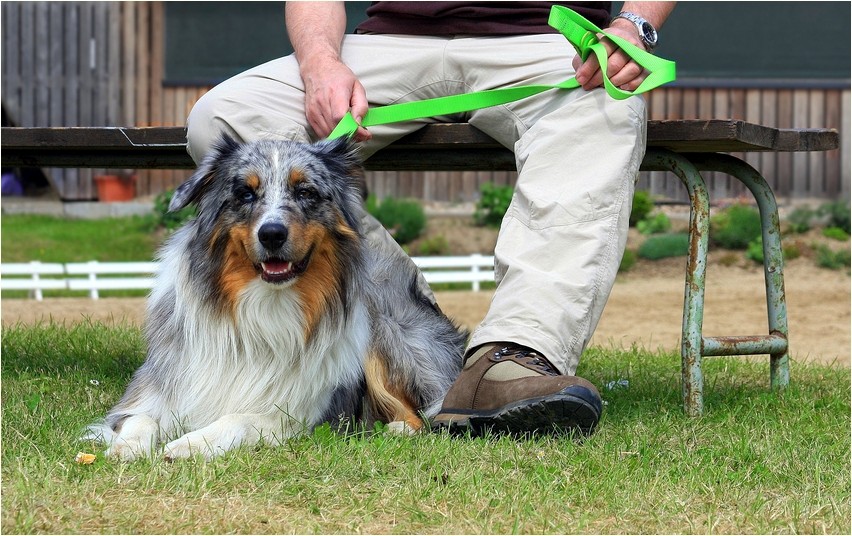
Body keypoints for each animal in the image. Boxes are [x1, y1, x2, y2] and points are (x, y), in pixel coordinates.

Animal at [86, 135, 466, 460]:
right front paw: (127, 446)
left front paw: (192, 443)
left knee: (420, 415)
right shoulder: (157, 388)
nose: (271, 234)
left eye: (306, 192)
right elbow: (140, 417)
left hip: (385, 334)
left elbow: (240, 418)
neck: (265, 302)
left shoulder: (299, 414)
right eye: (245, 194)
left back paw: (397, 429)